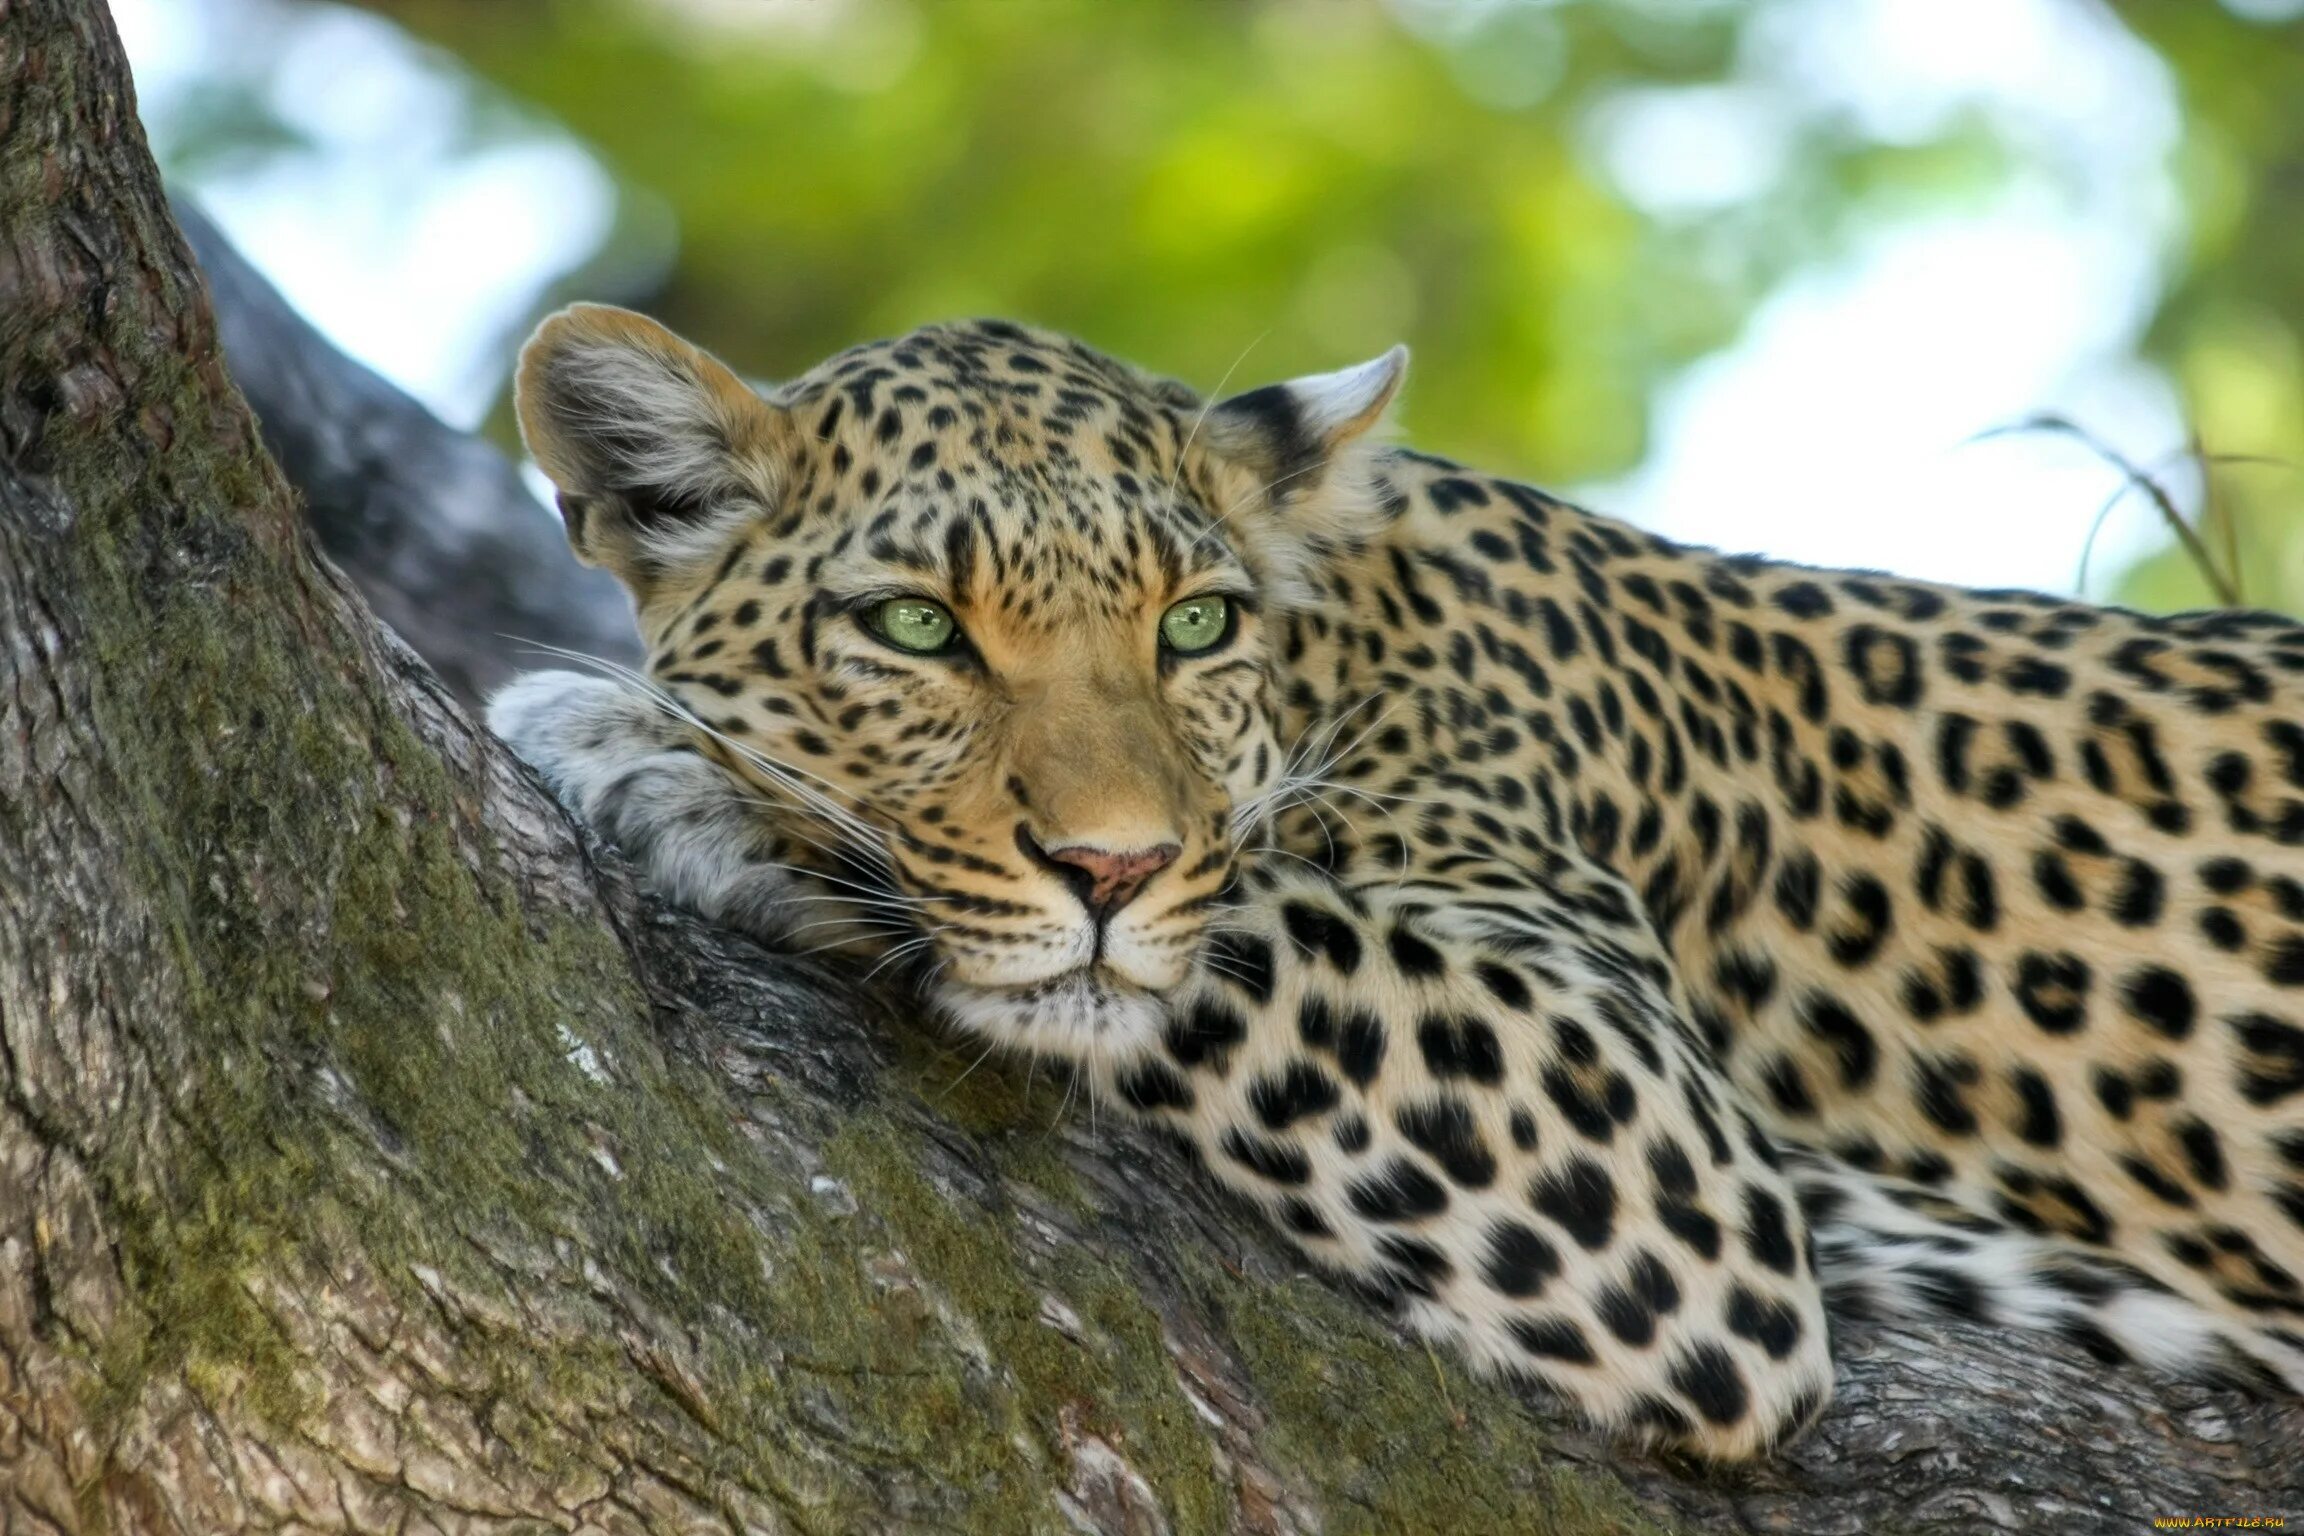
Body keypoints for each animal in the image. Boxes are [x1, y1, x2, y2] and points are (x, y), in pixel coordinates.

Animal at [486, 303, 2304, 1464]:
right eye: (916, 627)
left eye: (1193, 625)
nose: (1109, 862)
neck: (1343, 643)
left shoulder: (1653, 1144)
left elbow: (1236, 931)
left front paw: (666, 759)